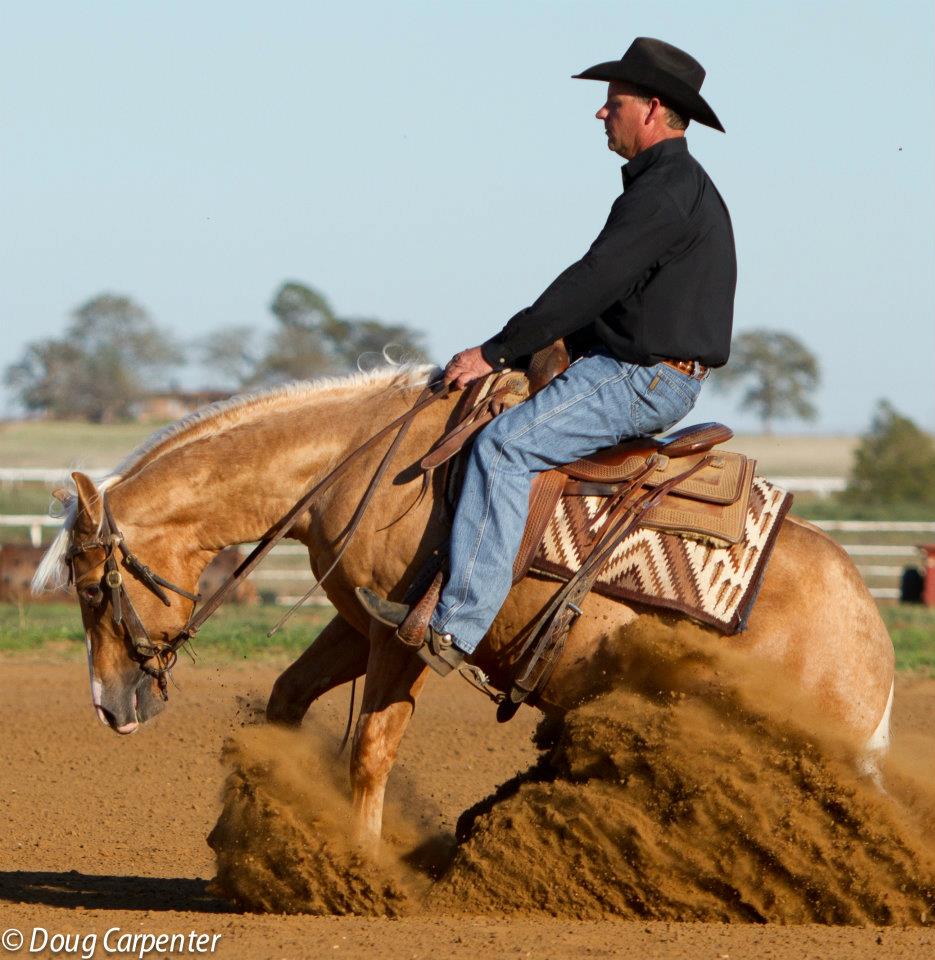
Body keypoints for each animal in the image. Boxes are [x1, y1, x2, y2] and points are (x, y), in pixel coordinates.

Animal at [34, 365, 895, 849]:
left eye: (90, 586)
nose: (109, 705)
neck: (369, 470)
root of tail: (871, 643)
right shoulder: (359, 618)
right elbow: (287, 697)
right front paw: (242, 831)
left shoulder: (406, 637)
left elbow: (371, 748)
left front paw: (360, 859)